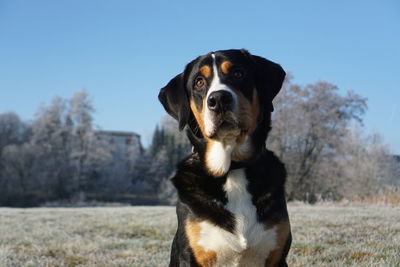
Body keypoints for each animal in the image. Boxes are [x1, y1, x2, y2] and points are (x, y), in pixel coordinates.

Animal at [158, 49, 292, 266]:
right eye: (199, 82)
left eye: (238, 73)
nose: (219, 99)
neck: (232, 168)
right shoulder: (191, 255)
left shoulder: (276, 255)